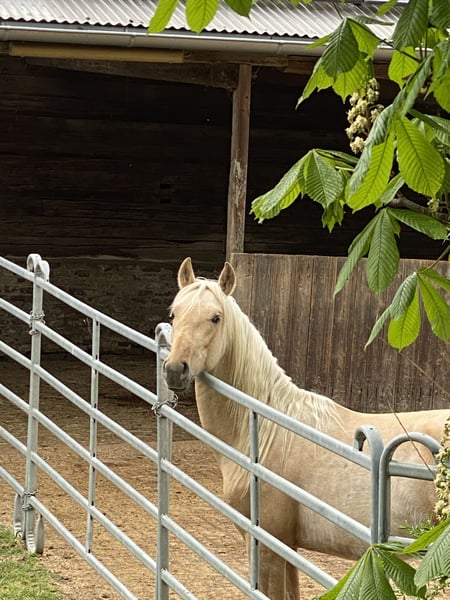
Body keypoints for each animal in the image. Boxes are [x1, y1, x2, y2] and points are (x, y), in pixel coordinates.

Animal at [163, 257, 448, 600]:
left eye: (215, 318)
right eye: (174, 313)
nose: (175, 370)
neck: (267, 433)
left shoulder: (267, 546)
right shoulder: (289, 548)